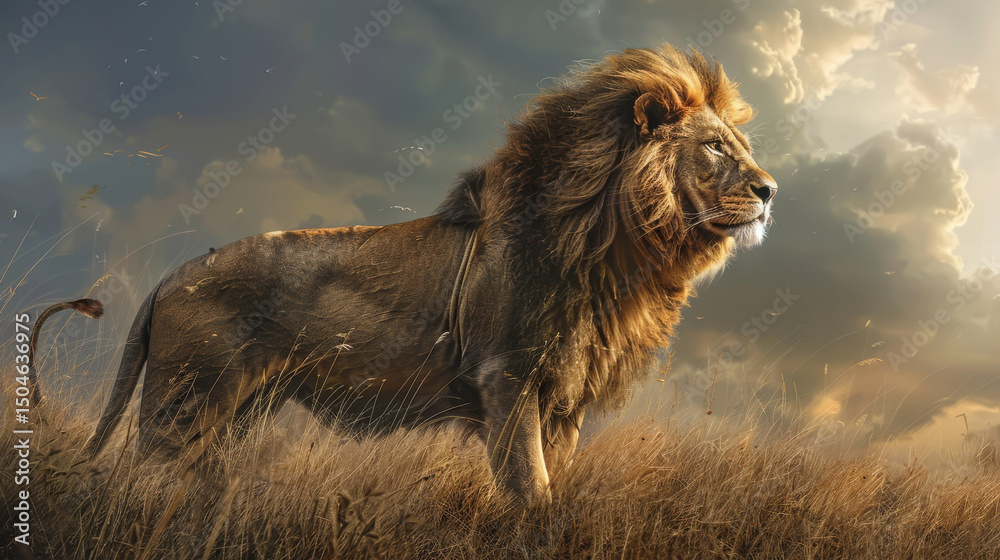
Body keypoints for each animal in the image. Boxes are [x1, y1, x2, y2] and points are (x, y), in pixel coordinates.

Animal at [28, 44, 775, 505]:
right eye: (715, 147)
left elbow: (551, 485)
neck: (621, 249)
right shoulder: (507, 377)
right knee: (139, 478)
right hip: (181, 403)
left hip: (236, 411)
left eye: (742, 147)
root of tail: (169, 277)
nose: (770, 189)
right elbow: (530, 490)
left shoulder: (564, 396)